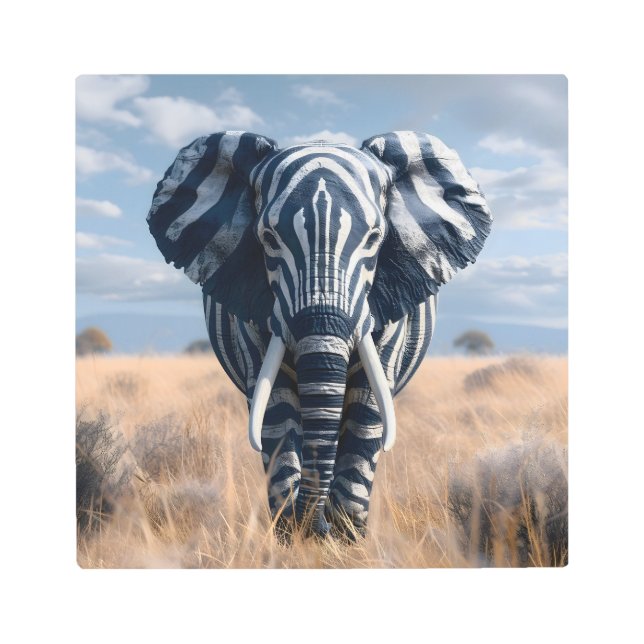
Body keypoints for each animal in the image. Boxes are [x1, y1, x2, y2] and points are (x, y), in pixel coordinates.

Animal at [146, 130, 492, 540]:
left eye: (375, 238)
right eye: (268, 238)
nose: (318, 529)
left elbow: (368, 407)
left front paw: (346, 536)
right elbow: (275, 408)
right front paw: (291, 533)